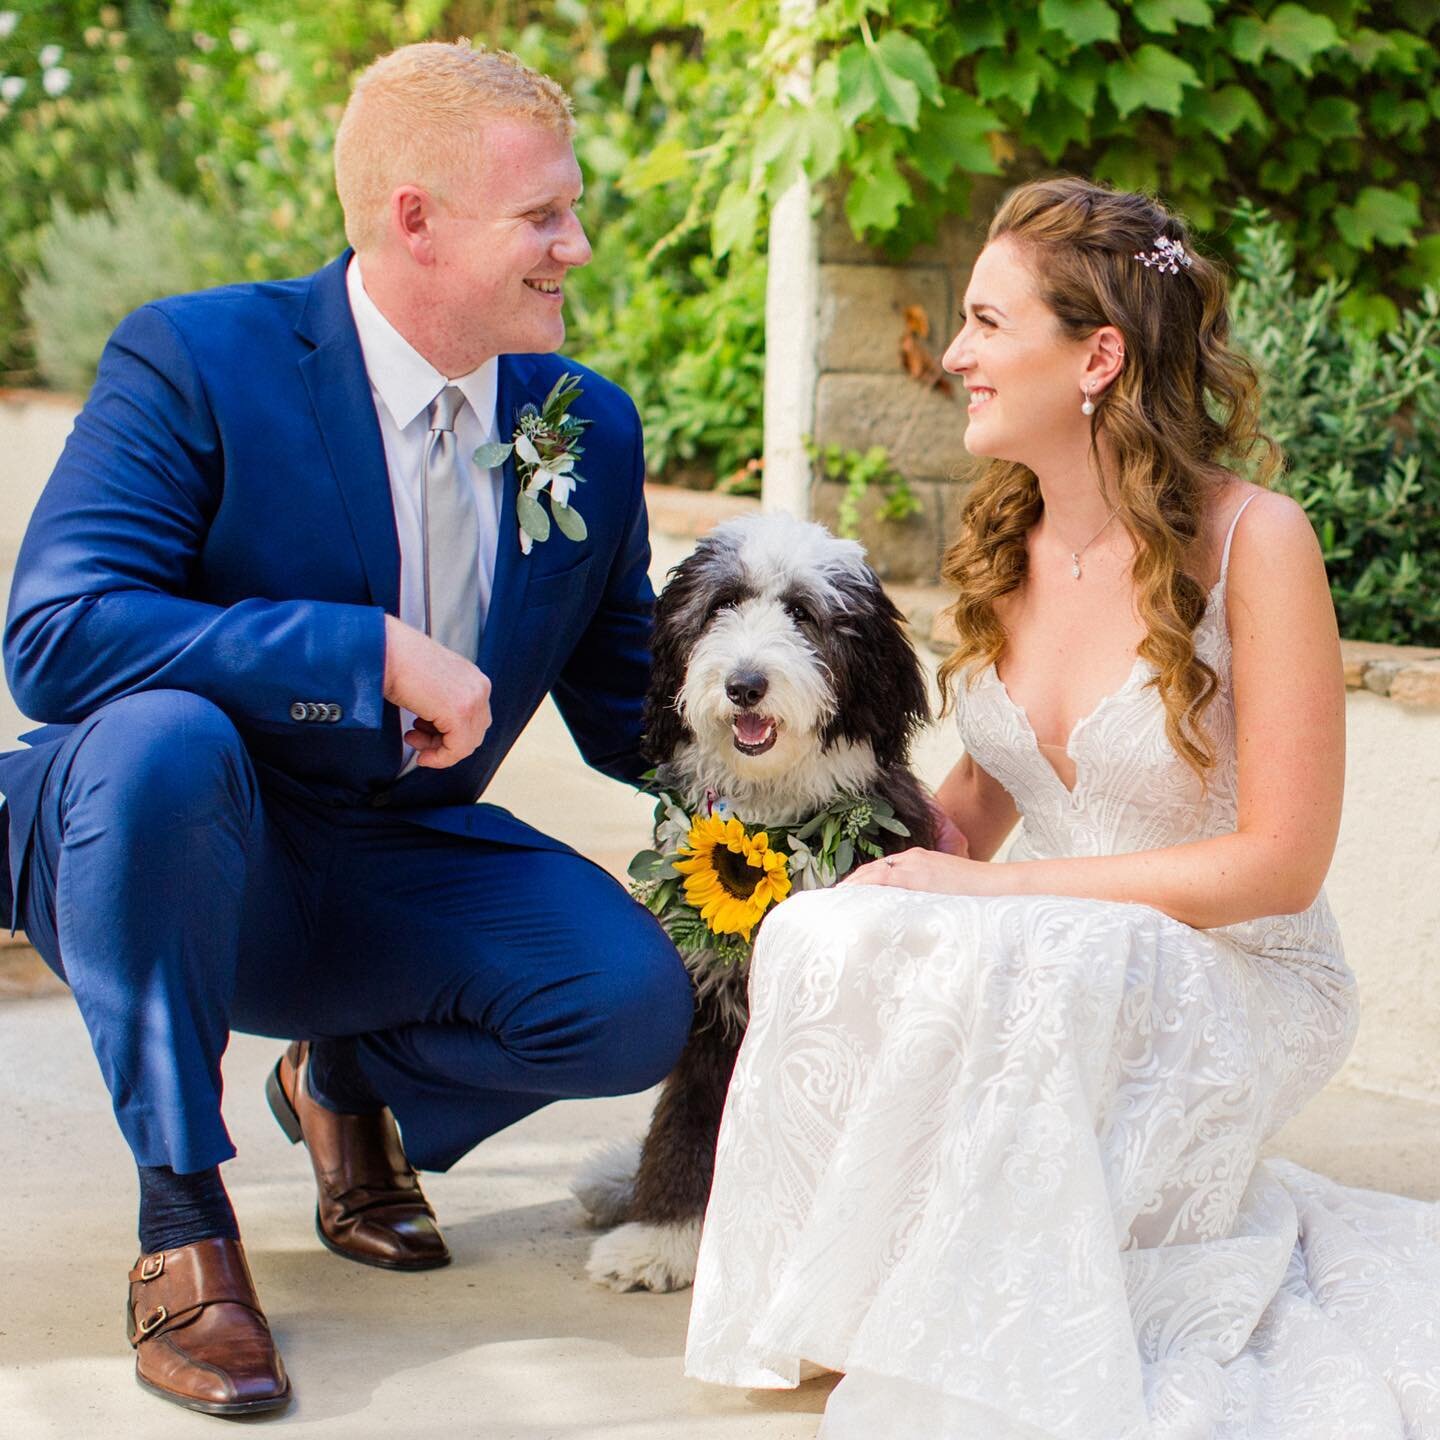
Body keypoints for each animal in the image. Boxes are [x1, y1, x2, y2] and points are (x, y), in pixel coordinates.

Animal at [573, 512, 933, 1290]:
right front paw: (660, 1239)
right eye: (721, 606)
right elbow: (685, 1120)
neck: (772, 824)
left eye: (803, 614)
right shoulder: (708, 1003)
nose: (744, 685)